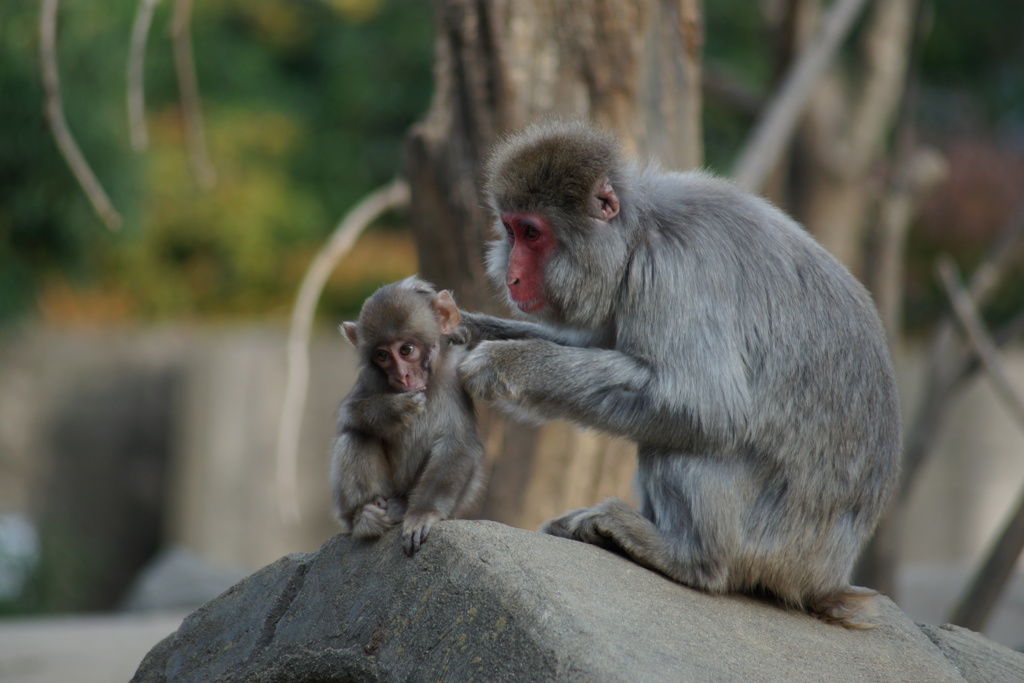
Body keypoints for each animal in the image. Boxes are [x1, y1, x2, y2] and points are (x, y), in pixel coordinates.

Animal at [329, 276, 485, 557]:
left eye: (406, 350)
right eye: (382, 355)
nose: (402, 376)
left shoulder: (460, 371)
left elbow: (457, 442)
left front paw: (423, 513)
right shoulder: (369, 378)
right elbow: (348, 412)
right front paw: (394, 410)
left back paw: (401, 508)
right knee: (356, 434)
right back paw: (363, 518)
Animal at [460, 121, 901, 626]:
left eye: (532, 233)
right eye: (511, 230)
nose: (511, 276)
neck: (637, 235)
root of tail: (826, 579)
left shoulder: (673, 272)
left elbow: (706, 406)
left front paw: (506, 364)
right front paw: (459, 329)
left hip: (770, 543)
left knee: (680, 436)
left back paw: (688, 558)